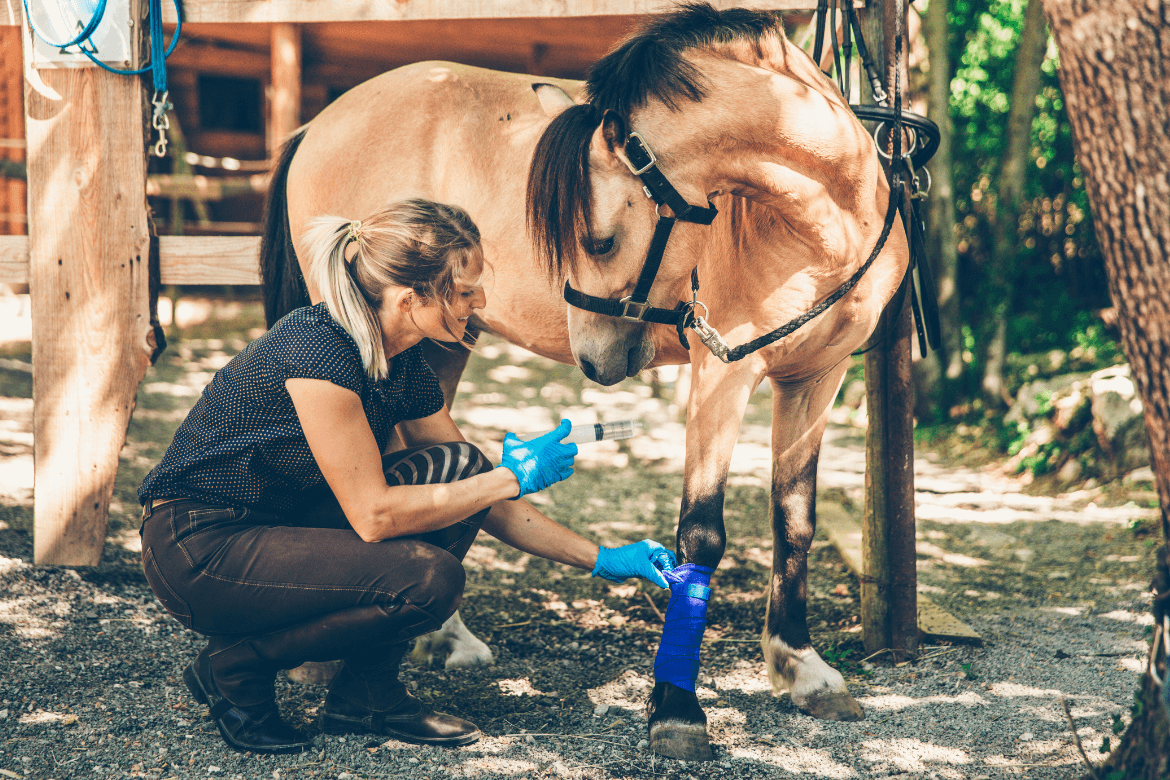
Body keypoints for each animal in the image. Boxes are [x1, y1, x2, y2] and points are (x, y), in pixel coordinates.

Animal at [260, 1, 907, 762]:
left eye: (597, 240)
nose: (593, 359)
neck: (822, 221)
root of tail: (321, 122)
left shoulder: (816, 377)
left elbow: (795, 520)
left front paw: (802, 669)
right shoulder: (723, 372)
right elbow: (701, 535)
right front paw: (676, 708)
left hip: (437, 346)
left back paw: (443, 638)